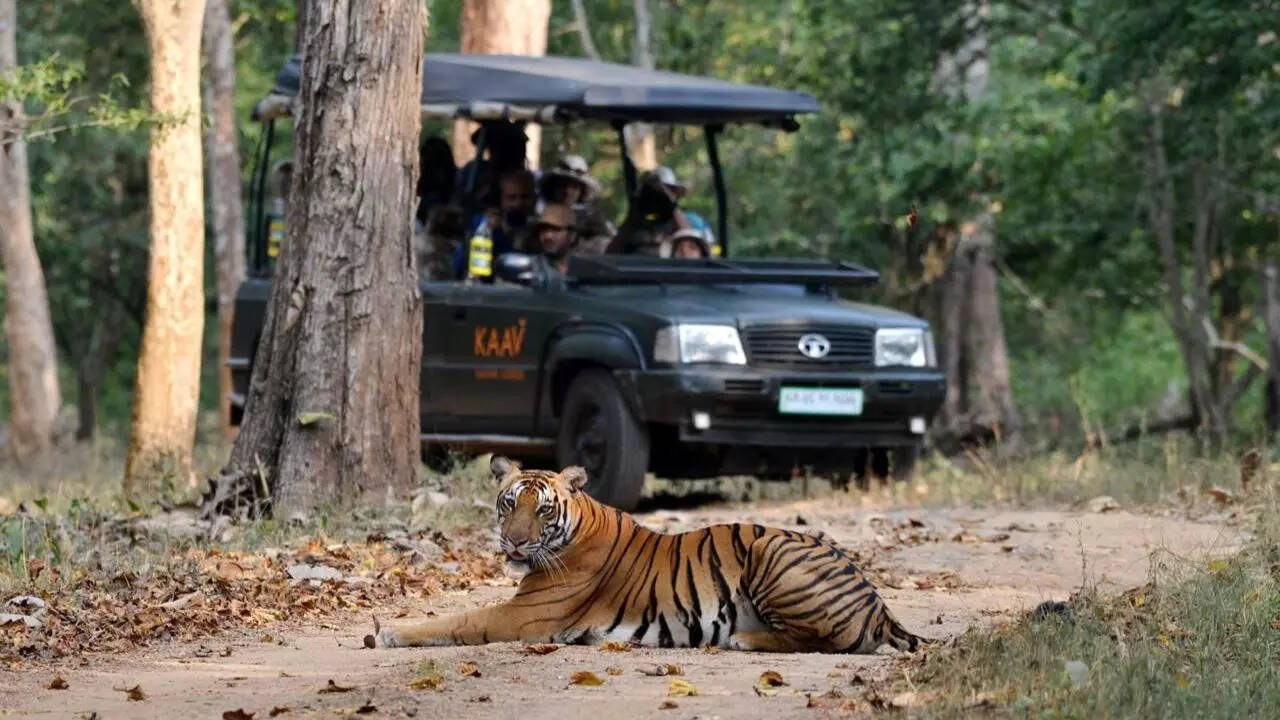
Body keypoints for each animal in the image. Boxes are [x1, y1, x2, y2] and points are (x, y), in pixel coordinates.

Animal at [373, 456, 925, 654]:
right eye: (509, 504)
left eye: (542, 509)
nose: (514, 543)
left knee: (831, 641)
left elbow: (459, 620)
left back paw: (744, 639)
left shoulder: (525, 616)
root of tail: (878, 603)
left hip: (773, 548)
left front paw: (390, 632)